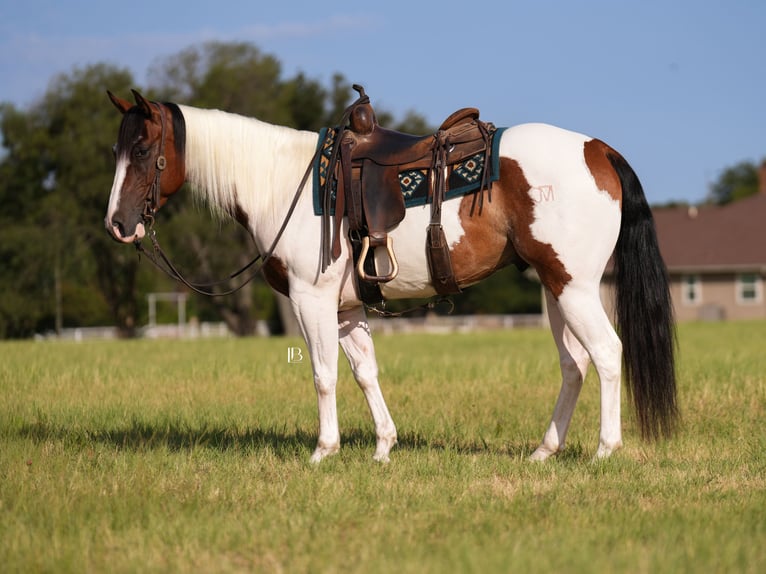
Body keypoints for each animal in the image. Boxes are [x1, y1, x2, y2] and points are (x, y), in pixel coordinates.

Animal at [104, 88, 678, 463]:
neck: (281, 181)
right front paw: (383, 446)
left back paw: (605, 450)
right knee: (574, 365)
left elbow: (324, 374)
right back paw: (544, 451)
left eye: (141, 150)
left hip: (574, 289)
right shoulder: (347, 308)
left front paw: (324, 451)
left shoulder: (311, 300)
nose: (118, 225)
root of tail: (598, 148)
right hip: (555, 290)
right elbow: (365, 372)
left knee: (606, 354)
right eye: (115, 149)